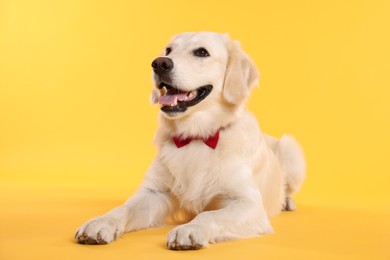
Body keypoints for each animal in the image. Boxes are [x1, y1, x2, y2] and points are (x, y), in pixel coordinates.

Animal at [74, 31, 306, 249]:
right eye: (168, 50)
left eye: (202, 52)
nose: (159, 63)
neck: (196, 136)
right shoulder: (154, 192)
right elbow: (124, 208)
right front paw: (101, 222)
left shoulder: (248, 204)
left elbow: (209, 214)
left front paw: (190, 229)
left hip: (291, 150)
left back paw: (286, 201)